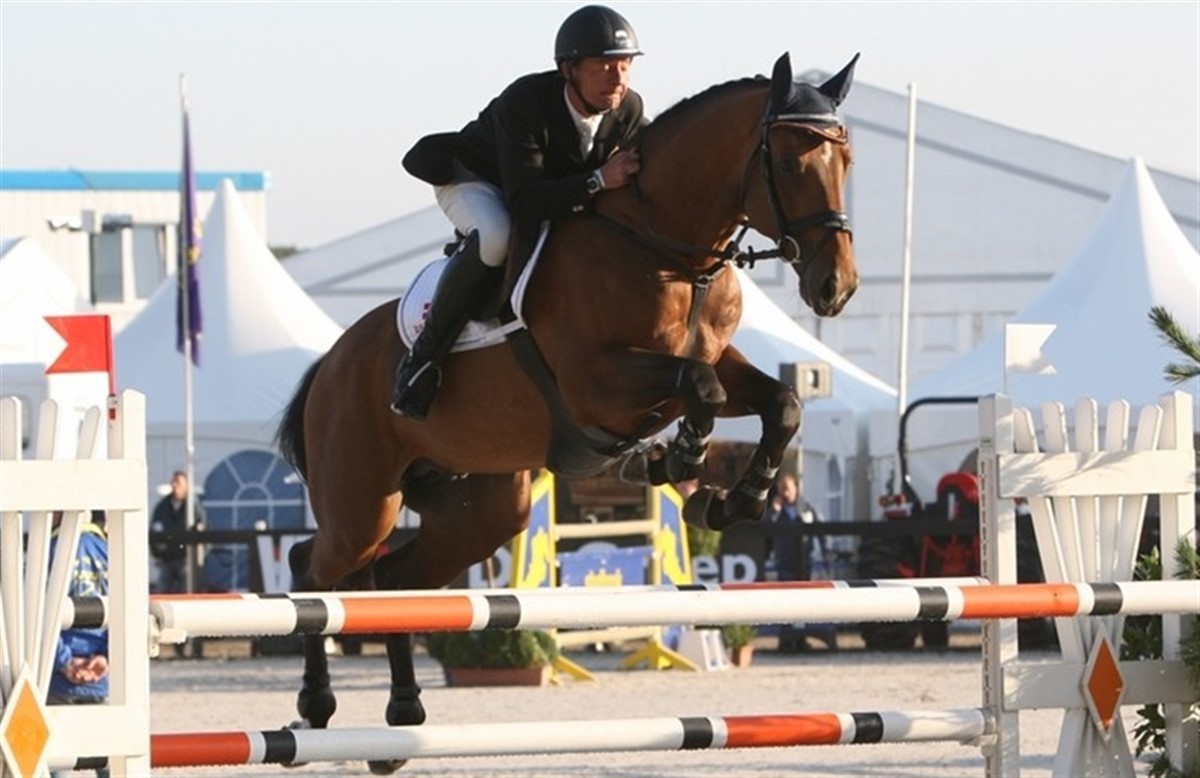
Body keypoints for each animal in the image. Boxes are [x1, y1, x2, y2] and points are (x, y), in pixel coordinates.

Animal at [276, 51, 859, 773]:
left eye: (846, 160)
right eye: (785, 162)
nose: (835, 287)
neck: (666, 249)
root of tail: (329, 365)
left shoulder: (713, 357)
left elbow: (779, 402)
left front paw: (728, 499)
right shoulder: (597, 382)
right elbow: (701, 390)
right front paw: (679, 459)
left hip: (482, 509)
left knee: (391, 581)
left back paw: (399, 721)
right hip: (362, 500)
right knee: (314, 568)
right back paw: (317, 707)